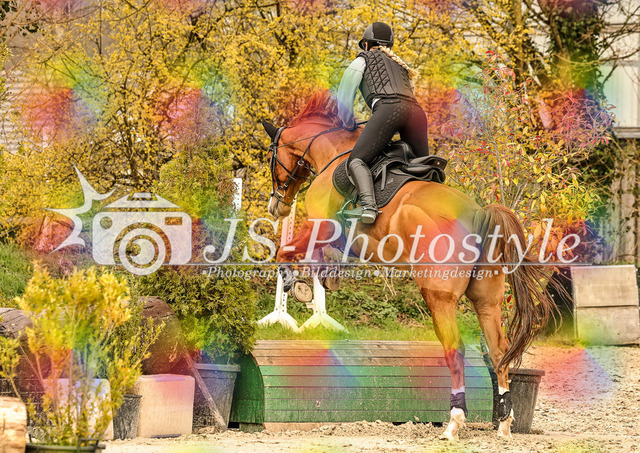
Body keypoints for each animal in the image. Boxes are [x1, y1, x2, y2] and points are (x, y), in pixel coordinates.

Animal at [262, 90, 555, 440]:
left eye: (271, 159)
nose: (276, 207)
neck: (332, 152)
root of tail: (478, 213)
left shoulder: (323, 224)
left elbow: (286, 252)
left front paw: (299, 287)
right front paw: (323, 278)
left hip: (438, 296)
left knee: (455, 350)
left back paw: (455, 422)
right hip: (488, 301)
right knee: (499, 351)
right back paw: (505, 423)